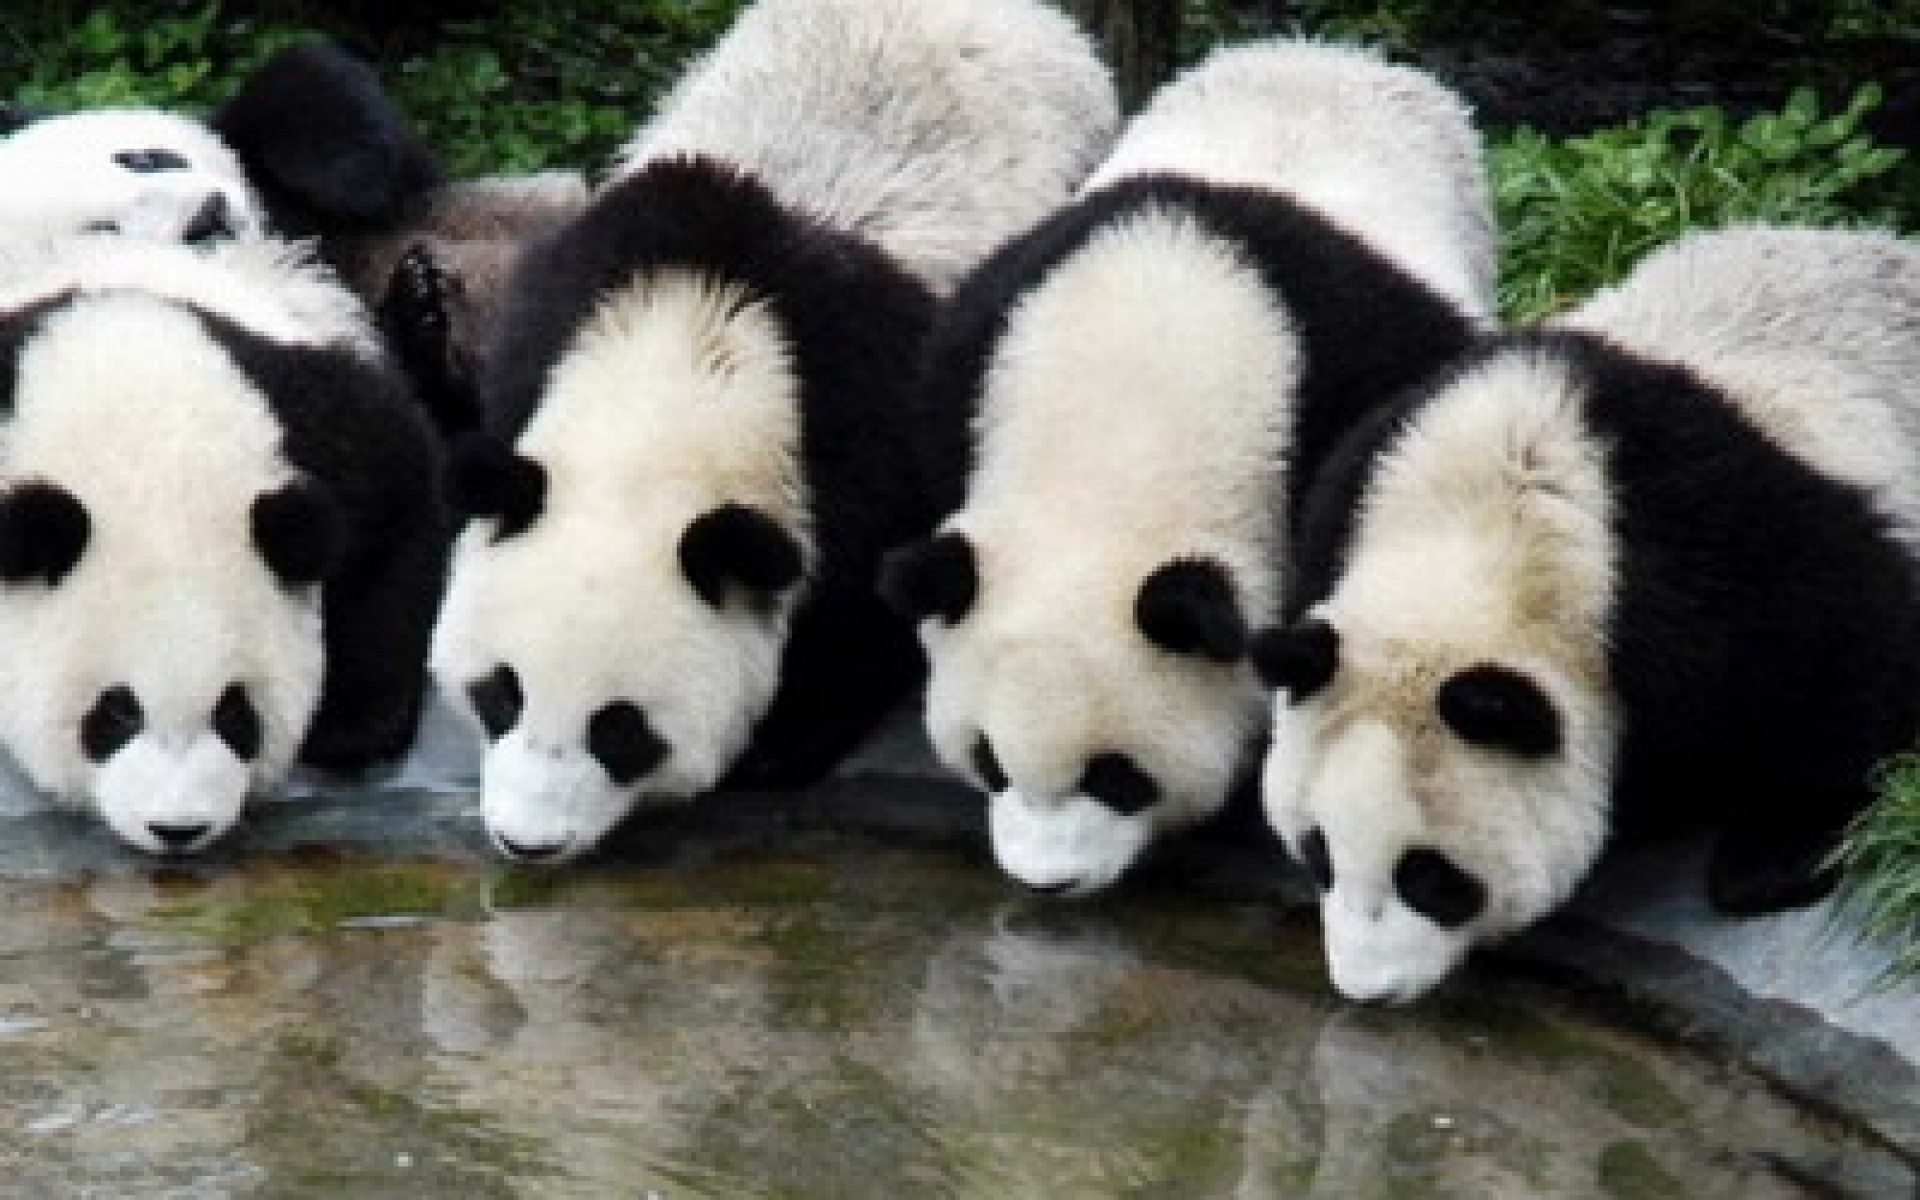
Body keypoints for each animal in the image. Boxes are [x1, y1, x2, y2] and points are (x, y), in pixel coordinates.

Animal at [0, 233, 446, 856]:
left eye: (236, 711)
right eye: (116, 711)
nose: (178, 829)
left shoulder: (315, 424)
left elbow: (397, 508)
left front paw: (349, 724)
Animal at [430, 0, 1120, 864]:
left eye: (619, 730)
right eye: (501, 693)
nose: (528, 842)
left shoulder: (865, 423)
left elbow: (866, 606)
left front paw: (778, 743)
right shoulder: (553, 319)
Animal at [1255, 225, 1920, 1004]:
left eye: (1430, 876)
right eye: (1319, 852)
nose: (1368, 989)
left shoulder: (1722, 558)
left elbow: (1844, 661)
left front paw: (1777, 851)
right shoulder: (1362, 483)